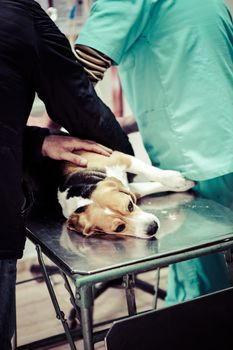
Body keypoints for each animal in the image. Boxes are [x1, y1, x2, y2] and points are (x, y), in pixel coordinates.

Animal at [57, 149, 195, 239]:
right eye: (119, 228)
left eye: (130, 205)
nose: (153, 227)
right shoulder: (132, 189)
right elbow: (147, 187)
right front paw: (183, 184)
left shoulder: (118, 158)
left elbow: (149, 171)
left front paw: (177, 180)